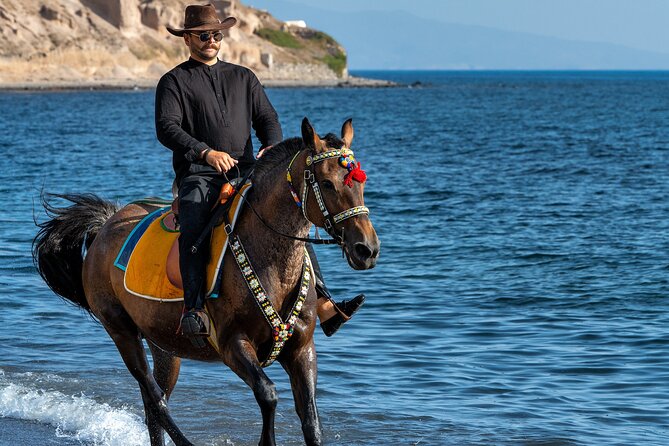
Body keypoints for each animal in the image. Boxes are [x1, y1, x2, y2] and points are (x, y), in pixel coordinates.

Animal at [32, 118, 380, 446]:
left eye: (361, 184)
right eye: (327, 183)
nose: (366, 249)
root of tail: (106, 225)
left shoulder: (301, 349)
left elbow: (310, 419)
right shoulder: (232, 344)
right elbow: (268, 395)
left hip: (163, 345)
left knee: (152, 404)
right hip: (121, 331)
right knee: (156, 400)